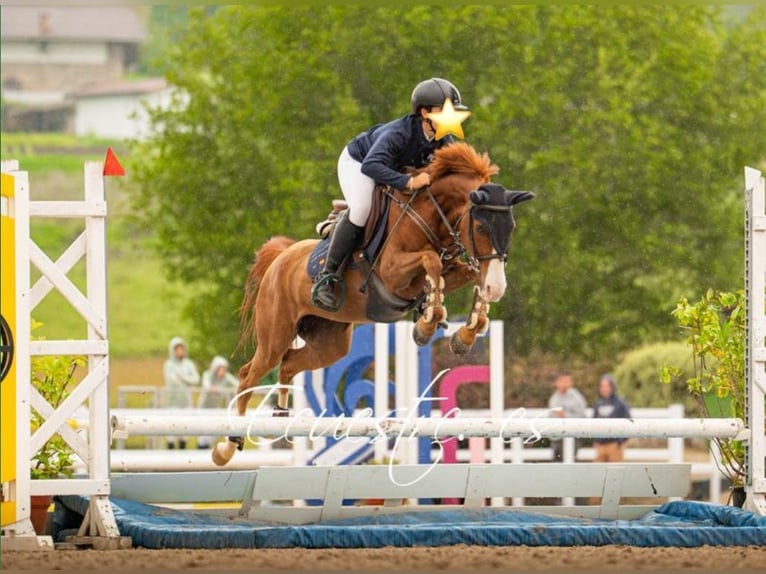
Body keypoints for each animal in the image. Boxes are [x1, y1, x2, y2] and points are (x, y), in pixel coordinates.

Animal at [212, 143, 536, 468]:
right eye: (480, 228)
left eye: (511, 227)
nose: (499, 287)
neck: (428, 215)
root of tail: (280, 257)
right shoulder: (393, 274)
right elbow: (431, 260)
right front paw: (427, 323)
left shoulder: (451, 271)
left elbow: (471, 274)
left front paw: (466, 332)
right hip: (275, 334)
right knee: (249, 374)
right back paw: (227, 445)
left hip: (330, 343)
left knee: (289, 362)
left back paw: (280, 417)